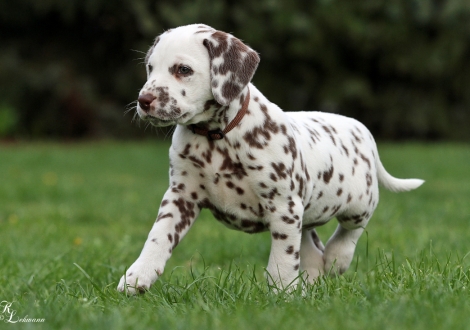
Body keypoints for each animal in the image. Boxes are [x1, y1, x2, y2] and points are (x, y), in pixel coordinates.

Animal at [116, 24, 422, 296]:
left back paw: (337, 259)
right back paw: (313, 278)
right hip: (306, 213)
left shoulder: (283, 206)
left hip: (358, 204)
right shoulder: (181, 197)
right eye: (150, 68)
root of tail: (362, 130)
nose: (144, 100)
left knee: (349, 232)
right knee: (311, 247)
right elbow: (158, 237)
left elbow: (282, 258)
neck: (216, 137)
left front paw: (283, 293)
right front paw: (137, 276)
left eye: (183, 70)